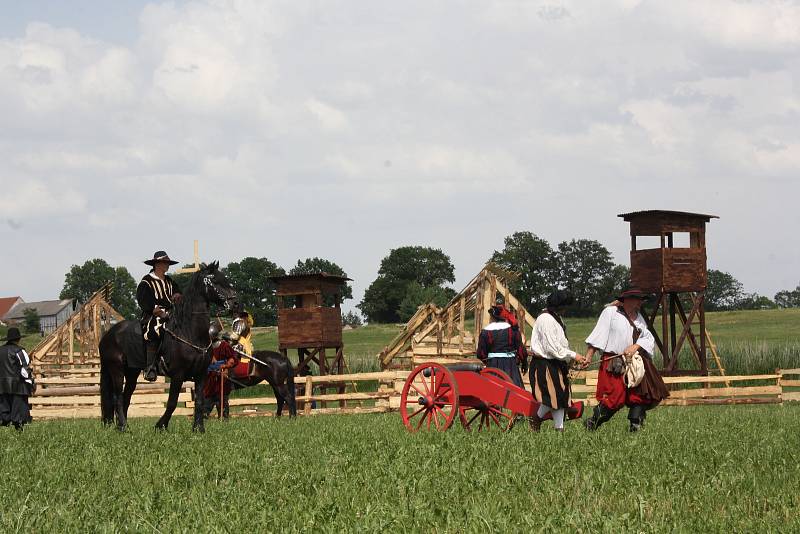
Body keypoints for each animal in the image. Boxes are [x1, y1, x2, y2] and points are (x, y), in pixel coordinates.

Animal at [98, 262, 236, 434]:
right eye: (216, 281)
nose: (234, 303)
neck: (190, 332)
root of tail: (108, 335)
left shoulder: (201, 375)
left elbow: (199, 401)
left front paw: (198, 429)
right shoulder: (178, 375)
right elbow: (172, 403)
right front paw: (160, 425)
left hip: (131, 372)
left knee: (126, 396)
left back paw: (122, 426)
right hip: (116, 370)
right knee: (117, 396)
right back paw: (123, 427)